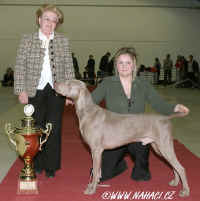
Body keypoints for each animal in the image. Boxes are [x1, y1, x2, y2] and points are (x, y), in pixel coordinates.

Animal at [54, 79, 189, 196]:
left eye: (69, 83)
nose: (55, 82)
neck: (87, 111)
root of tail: (165, 118)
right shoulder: (95, 151)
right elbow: (97, 171)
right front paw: (94, 184)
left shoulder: (96, 149)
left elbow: (96, 171)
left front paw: (91, 190)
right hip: (158, 148)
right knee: (173, 166)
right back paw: (175, 182)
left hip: (164, 146)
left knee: (181, 168)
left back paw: (185, 191)